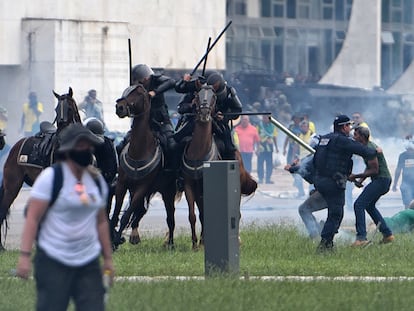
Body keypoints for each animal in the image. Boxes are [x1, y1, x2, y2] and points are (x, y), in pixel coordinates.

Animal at [111, 84, 178, 250]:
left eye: (140, 94)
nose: (119, 107)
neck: (139, 151)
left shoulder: (143, 187)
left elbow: (126, 215)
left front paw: (116, 240)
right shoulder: (122, 185)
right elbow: (116, 213)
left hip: (167, 191)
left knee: (170, 217)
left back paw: (170, 243)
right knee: (141, 211)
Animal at [180, 84, 256, 249]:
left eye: (213, 97)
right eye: (197, 95)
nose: (204, 113)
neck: (199, 152)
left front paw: (203, 243)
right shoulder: (190, 185)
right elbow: (193, 215)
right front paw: (195, 244)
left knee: (237, 213)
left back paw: (236, 239)